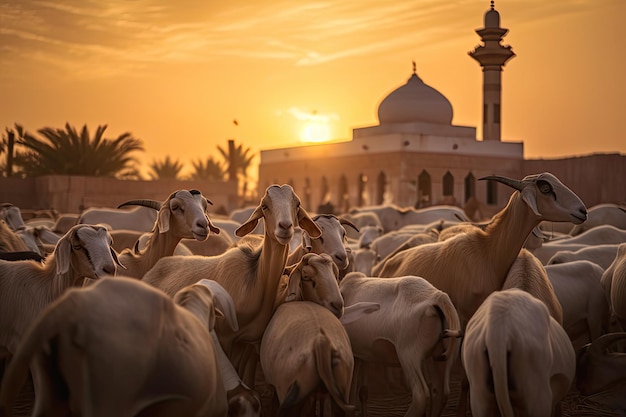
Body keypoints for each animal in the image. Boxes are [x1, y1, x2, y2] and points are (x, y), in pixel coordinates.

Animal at [338, 272, 460, 416]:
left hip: (408, 355)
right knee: (440, 393)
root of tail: (438, 296)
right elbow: (362, 391)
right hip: (441, 357)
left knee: (420, 395)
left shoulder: (353, 354)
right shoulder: (363, 354)